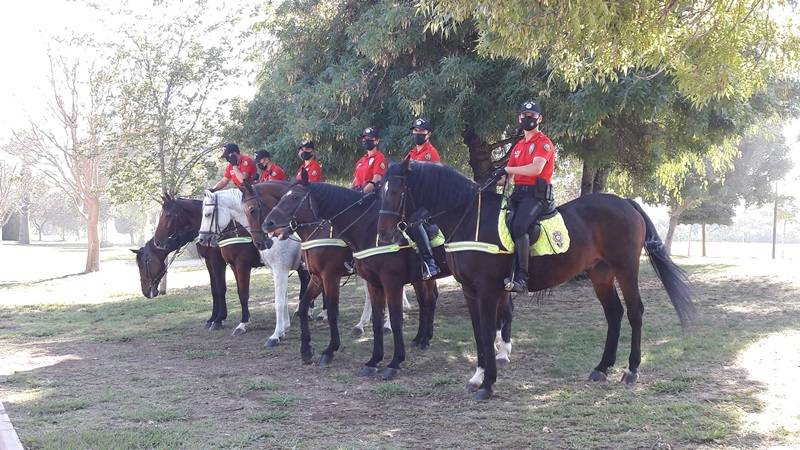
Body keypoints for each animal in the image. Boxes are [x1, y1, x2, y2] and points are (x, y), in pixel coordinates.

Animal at [198, 188, 310, 346]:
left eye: (207, 214)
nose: (201, 239)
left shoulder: (275, 269)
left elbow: (276, 300)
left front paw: (273, 334)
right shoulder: (271, 270)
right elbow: (283, 298)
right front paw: (284, 328)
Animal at [242, 180, 416, 366]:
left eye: (252, 209)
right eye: (243, 210)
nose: (260, 241)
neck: (317, 230)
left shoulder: (327, 276)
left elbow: (330, 311)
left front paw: (329, 349)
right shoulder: (316, 277)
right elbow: (302, 306)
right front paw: (305, 349)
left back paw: (387, 325)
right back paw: (361, 325)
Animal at [376, 160, 692, 400]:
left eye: (397, 190)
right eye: (381, 190)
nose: (385, 233)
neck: (470, 219)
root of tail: (625, 202)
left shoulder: (488, 290)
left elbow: (488, 331)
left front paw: (488, 384)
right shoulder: (469, 290)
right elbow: (479, 333)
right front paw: (478, 376)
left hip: (625, 268)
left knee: (635, 312)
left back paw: (632, 370)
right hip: (600, 273)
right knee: (614, 313)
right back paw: (602, 367)